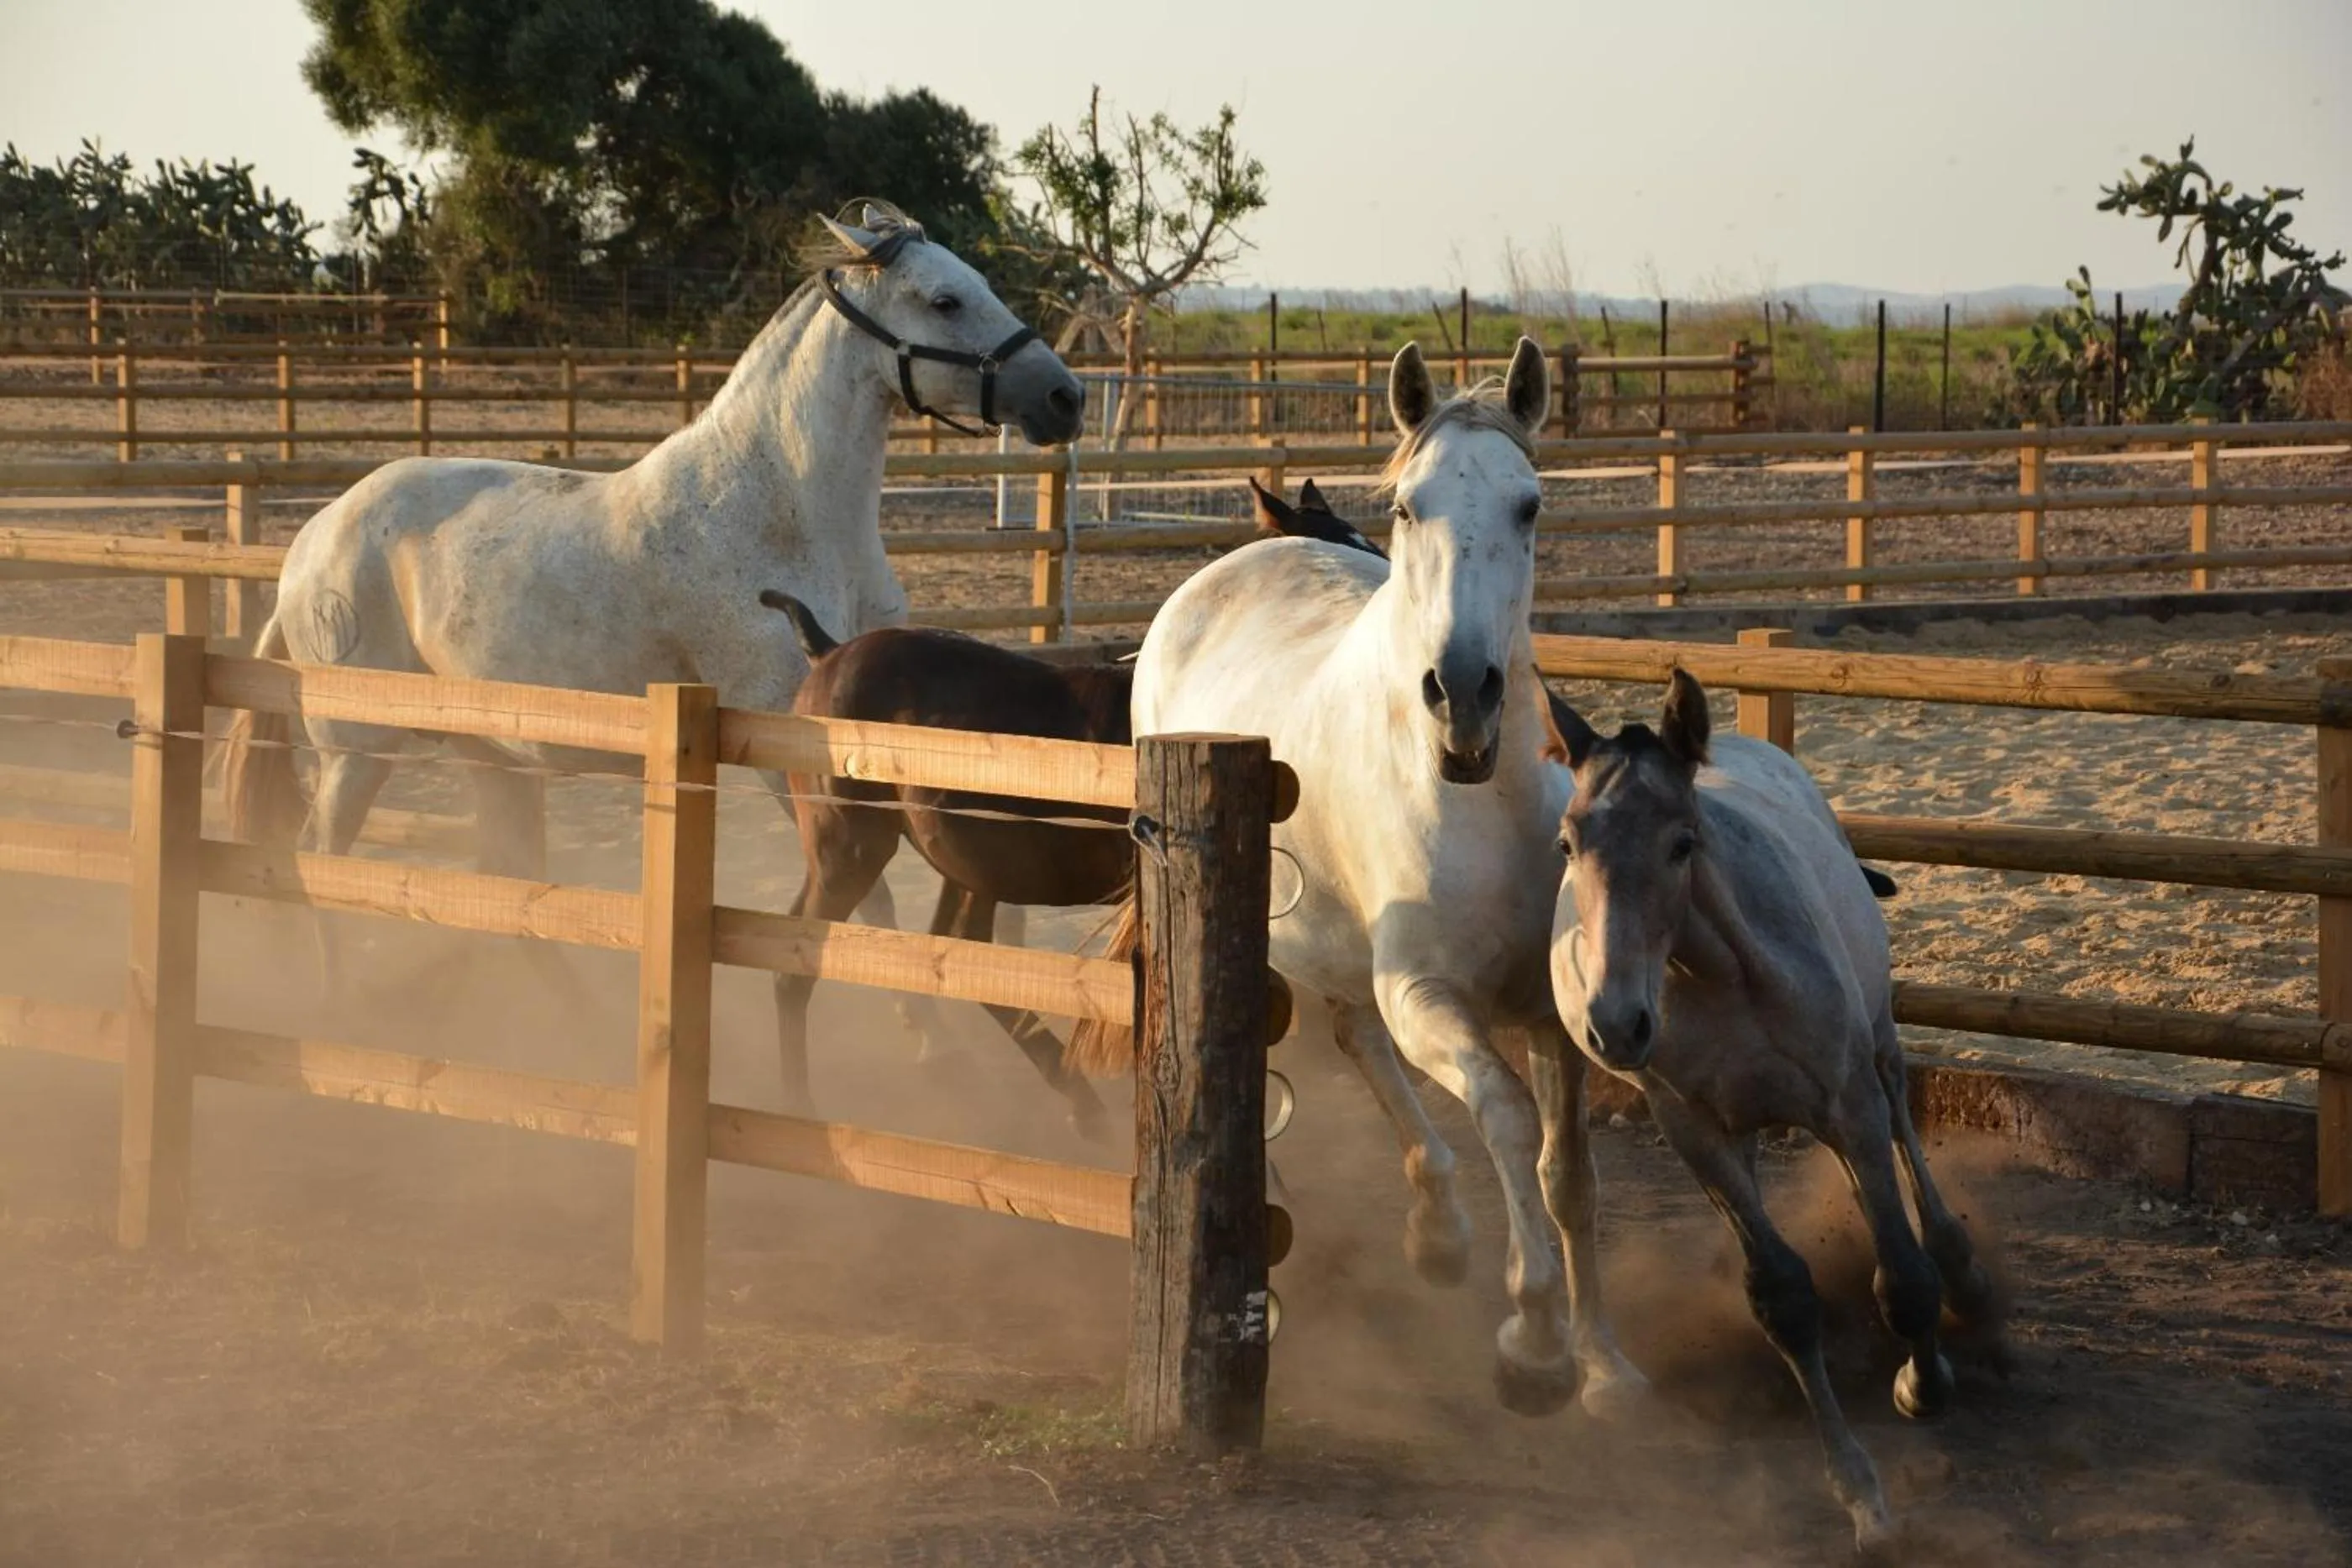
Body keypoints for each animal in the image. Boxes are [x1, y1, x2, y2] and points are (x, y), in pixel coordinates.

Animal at [221, 201, 1083, 1031]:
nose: (1064, 396)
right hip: (356, 750)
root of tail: (311, 541)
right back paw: (342, 1003)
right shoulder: (791, 748)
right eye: (945, 299)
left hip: (494, 756)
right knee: (322, 858)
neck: (780, 508)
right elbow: (868, 902)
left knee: (508, 879)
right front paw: (929, 1044)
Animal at [757, 589, 1130, 1140]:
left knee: (962, 948)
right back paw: (798, 1110)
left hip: (965, 865)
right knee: (795, 970)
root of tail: (827, 652)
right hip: (850, 851)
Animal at [1072, 339, 1649, 1420]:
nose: (1462, 694)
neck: (1478, 796)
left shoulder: (1553, 1012)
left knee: (1356, 1040)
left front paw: (1602, 1361)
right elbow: (1505, 1116)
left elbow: (1569, 1175)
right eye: (1408, 507)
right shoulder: (1424, 992)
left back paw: (1437, 1231)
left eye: (1529, 505)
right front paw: (1535, 1342)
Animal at [1545, 672, 2001, 1555]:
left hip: (1878, 1047)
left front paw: (1921, 1383)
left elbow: (1903, 1277)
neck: (1724, 977)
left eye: (1682, 842)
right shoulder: (1694, 1131)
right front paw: (1862, 1496)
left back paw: (1962, 1269)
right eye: (1568, 843)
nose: (1616, 1023)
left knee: (1907, 1133)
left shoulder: (1849, 1106)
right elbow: (1782, 1296)